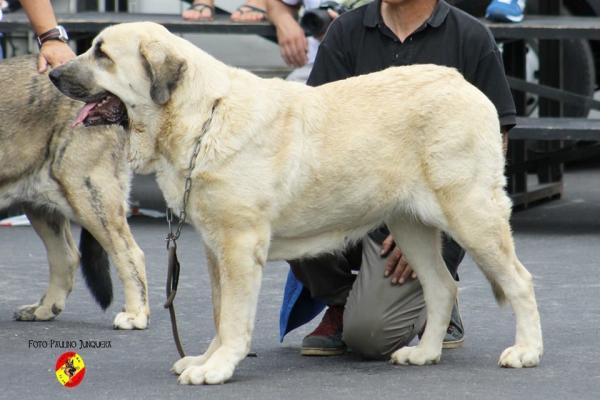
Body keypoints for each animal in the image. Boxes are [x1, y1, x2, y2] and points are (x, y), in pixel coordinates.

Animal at [49, 21, 540, 384]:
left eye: (102, 54)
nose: (52, 74)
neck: (199, 117)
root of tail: (463, 84)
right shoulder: (214, 248)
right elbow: (220, 311)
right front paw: (205, 359)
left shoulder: (238, 245)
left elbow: (233, 317)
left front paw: (218, 367)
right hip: (410, 226)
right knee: (441, 287)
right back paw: (425, 353)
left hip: (471, 214)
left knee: (519, 281)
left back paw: (526, 351)